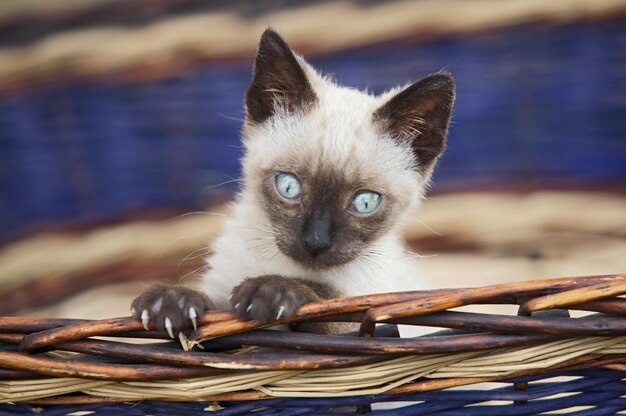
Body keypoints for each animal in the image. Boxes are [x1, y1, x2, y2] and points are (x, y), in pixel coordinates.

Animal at [132, 26, 454, 338]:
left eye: (365, 202)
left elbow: (334, 302)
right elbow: (212, 305)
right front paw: (171, 301)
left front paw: (270, 290)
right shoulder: (221, 291)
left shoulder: (377, 313)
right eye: (288, 186)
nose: (315, 243)